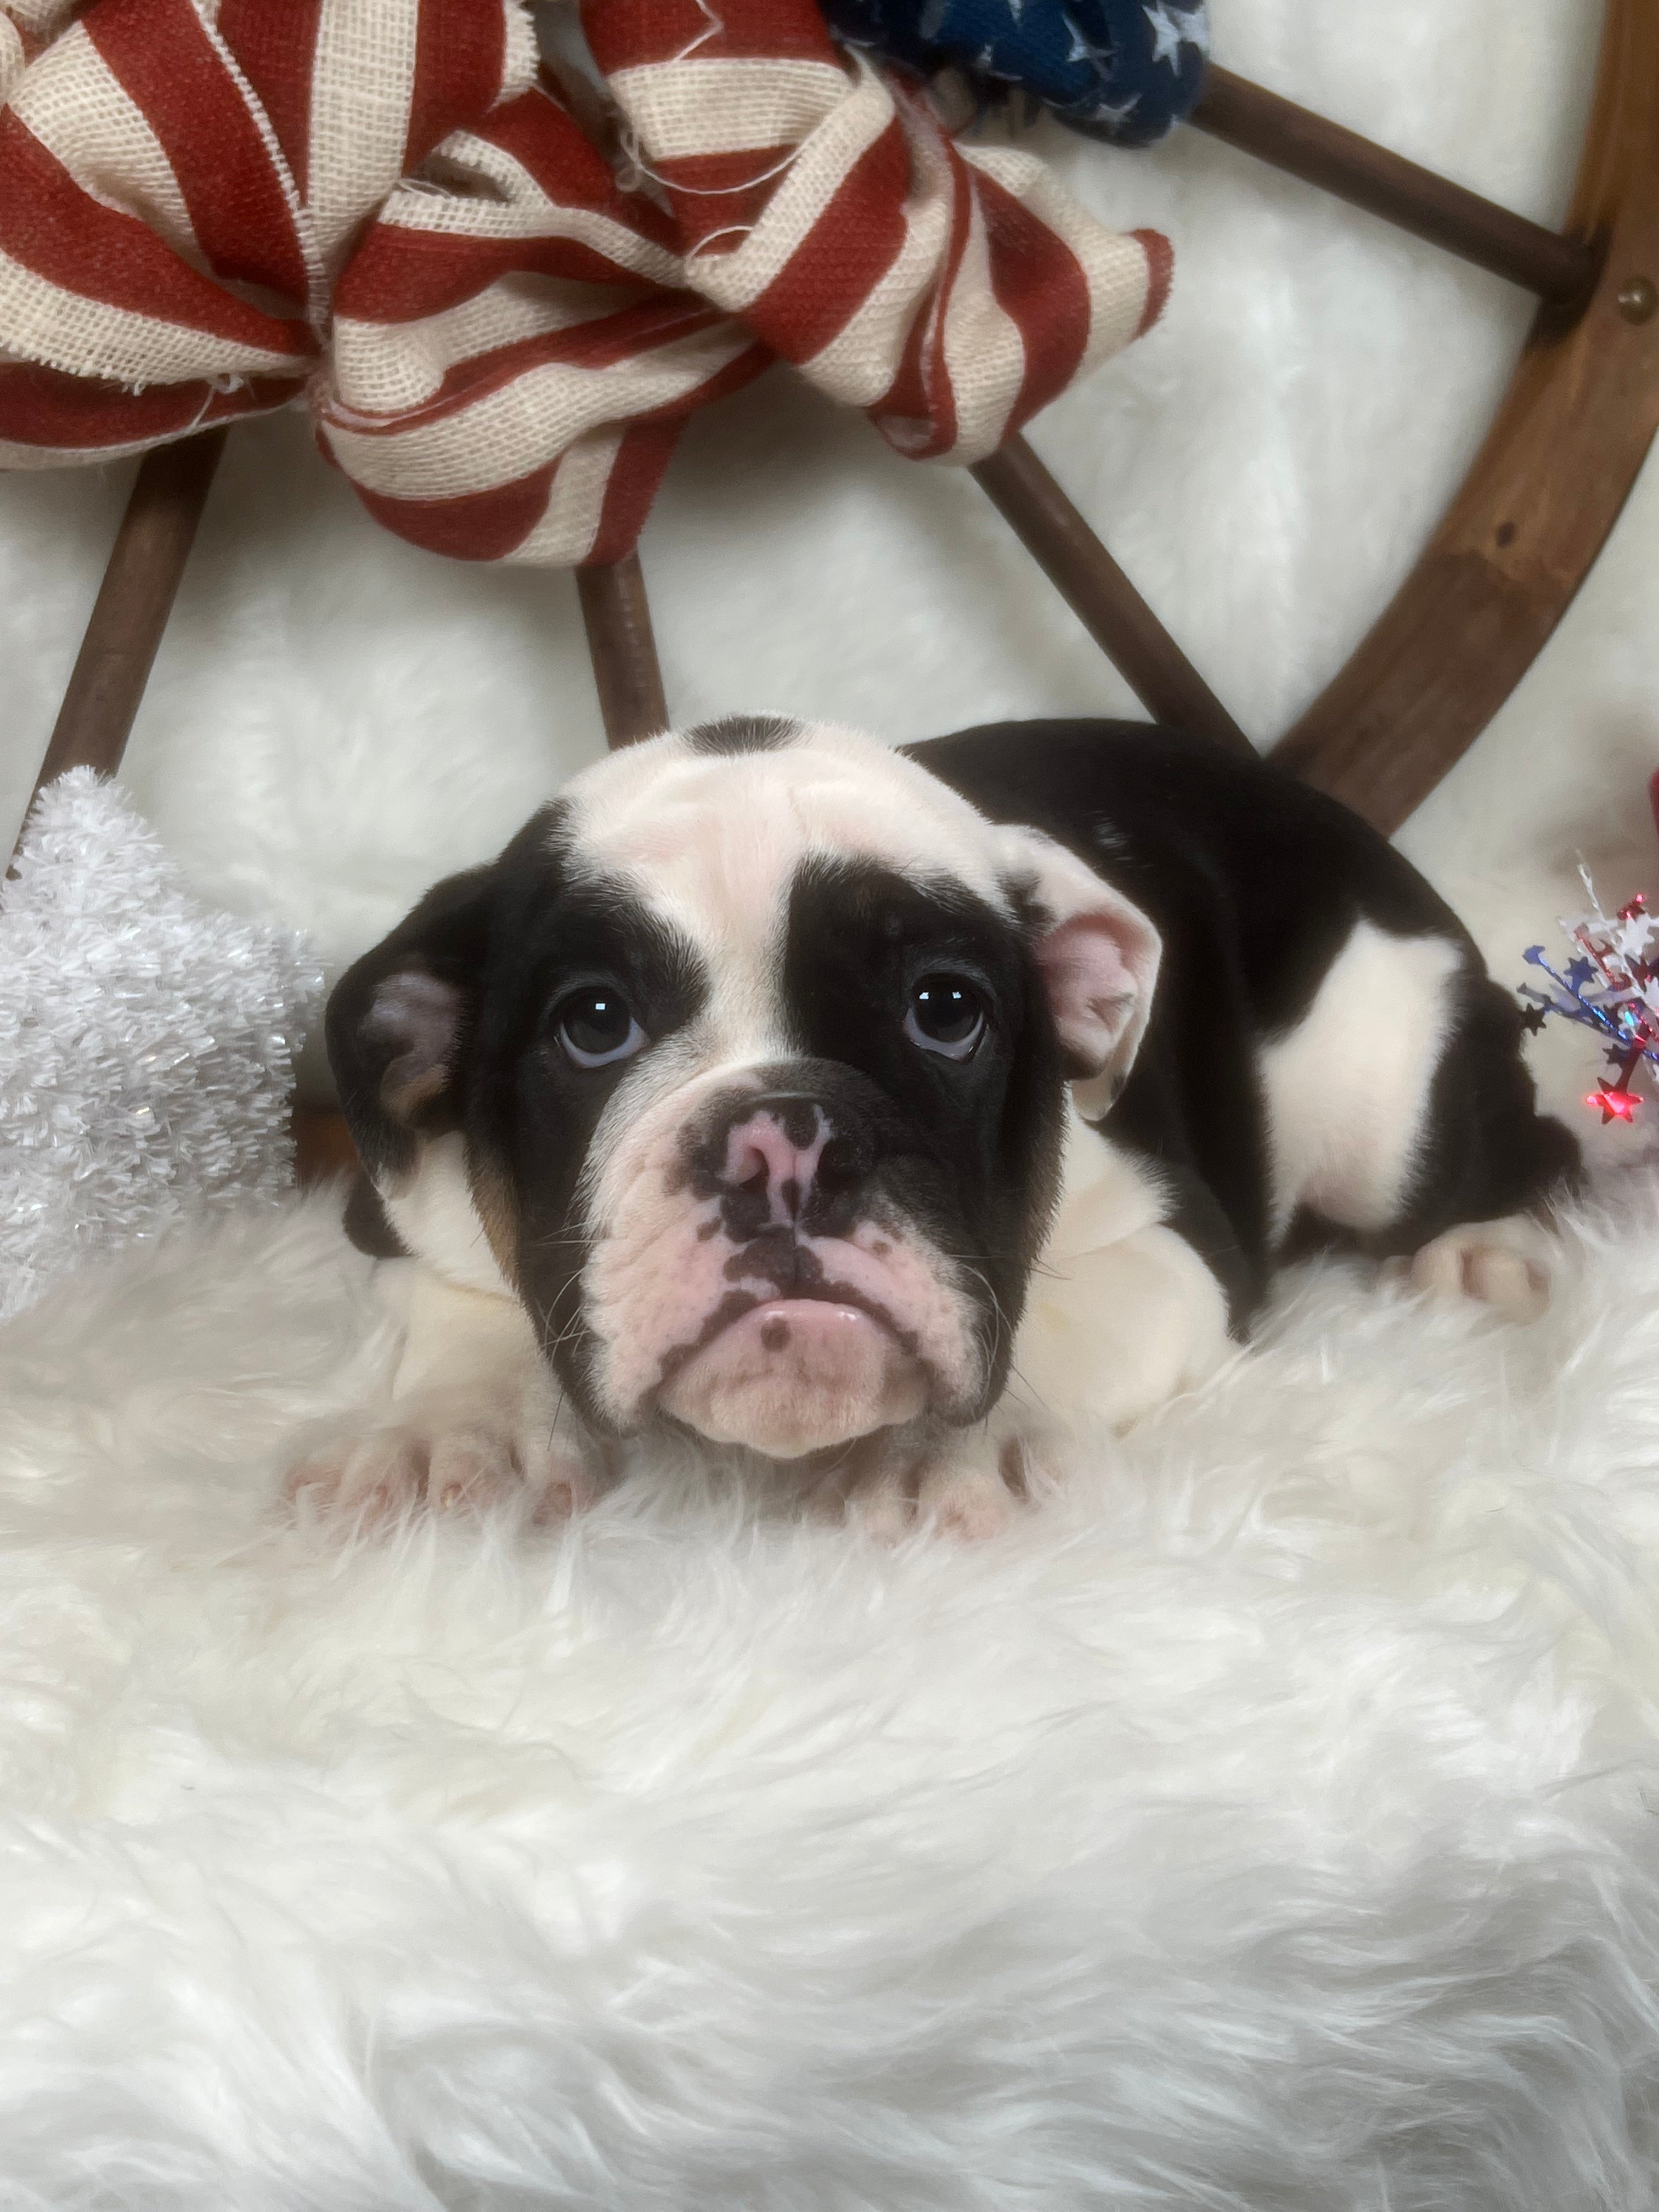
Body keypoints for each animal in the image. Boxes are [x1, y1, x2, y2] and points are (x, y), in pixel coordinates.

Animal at [290, 716, 1583, 1531]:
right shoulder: (406, 1213)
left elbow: (1044, 1317)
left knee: (1519, 1140)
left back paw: (1484, 1248)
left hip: (1384, 1095)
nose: (783, 1142)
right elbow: (470, 1303)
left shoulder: (1174, 1240)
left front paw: (950, 1444)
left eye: (946, 1011)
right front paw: (457, 1427)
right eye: (593, 1024)